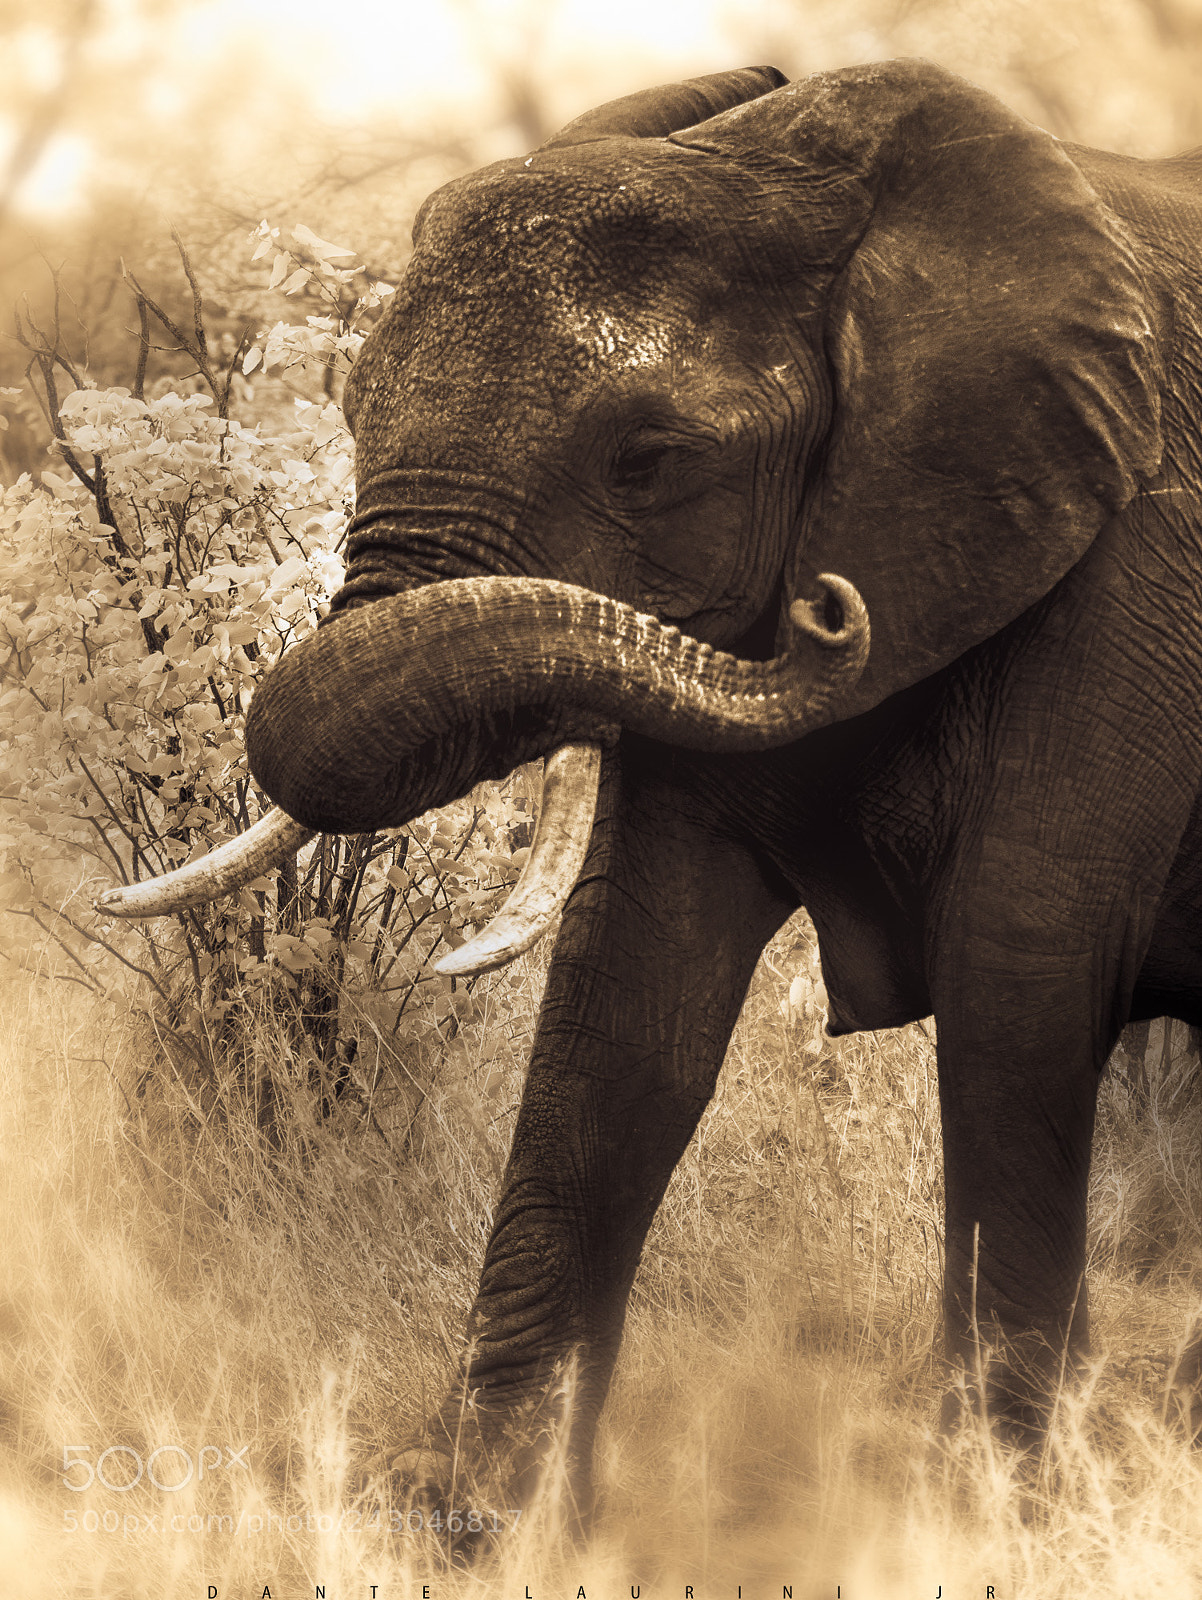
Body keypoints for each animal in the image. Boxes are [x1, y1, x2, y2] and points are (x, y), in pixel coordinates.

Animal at [100, 57, 1202, 1515]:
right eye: (351, 408)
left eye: (650, 460)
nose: (830, 613)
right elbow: (626, 998)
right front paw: (485, 1522)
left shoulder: (1142, 560)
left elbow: (1017, 962)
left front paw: (995, 1507)